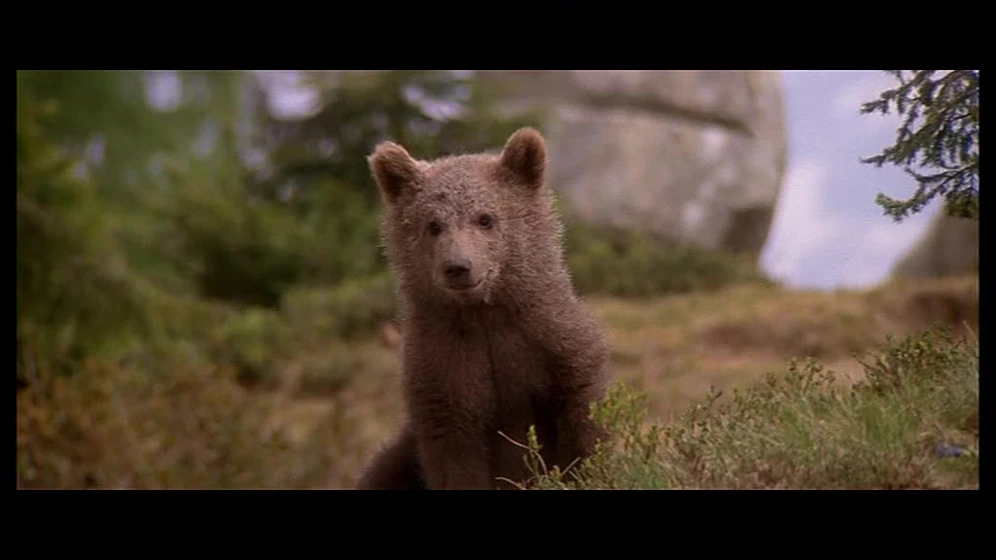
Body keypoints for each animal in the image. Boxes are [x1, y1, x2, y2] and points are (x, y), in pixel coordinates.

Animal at [355, 127, 612, 490]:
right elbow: (456, 460)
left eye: (485, 218)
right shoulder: (444, 375)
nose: (458, 266)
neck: (484, 313)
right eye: (433, 224)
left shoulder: (554, 349)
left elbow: (583, 425)